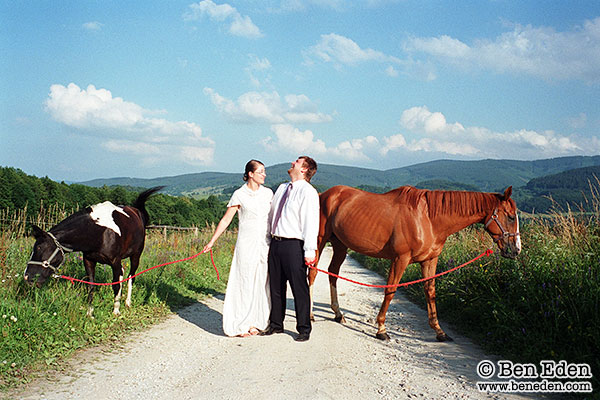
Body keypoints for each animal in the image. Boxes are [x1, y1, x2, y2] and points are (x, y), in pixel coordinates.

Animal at [24, 187, 163, 316]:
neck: (99, 232)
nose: (27, 277)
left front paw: (116, 310)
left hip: (136, 255)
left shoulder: (115, 262)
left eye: (40, 248)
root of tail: (137, 212)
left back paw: (128, 302)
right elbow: (90, 286)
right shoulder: (89, 261)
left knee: (130, 276)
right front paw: (89, 313)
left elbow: (116, 284)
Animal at [310, 186, 520, 342]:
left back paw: (338, 314)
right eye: (510, 216)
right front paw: (381, 329)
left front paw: (439, 331)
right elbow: (390, 290)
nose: (516, 249)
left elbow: (430, 291)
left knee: (333, 272)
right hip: (319, 242)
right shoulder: (400, 259)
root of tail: (324, 195)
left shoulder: (429, 260)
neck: (428, 219)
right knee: (312, 273)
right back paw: (311, 315)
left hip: (340, 245)